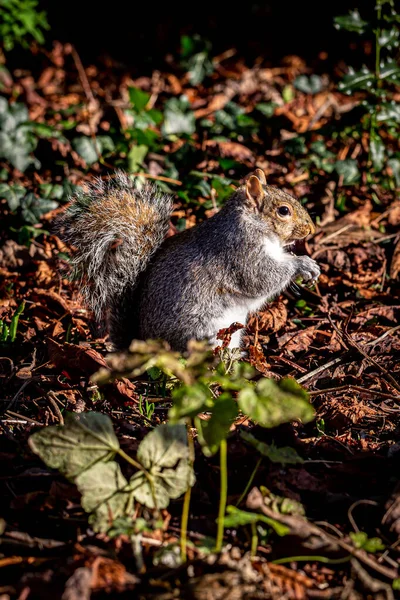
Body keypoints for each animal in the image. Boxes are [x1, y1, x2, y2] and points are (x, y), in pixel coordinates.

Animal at [59, 169, 320, 352]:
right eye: (283, 211)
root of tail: (143, 342)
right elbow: (260, 278)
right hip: (203, 332)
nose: (311, 229)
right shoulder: (241, 252)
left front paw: (309, 264)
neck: (253, 223)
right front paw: (301, 264)